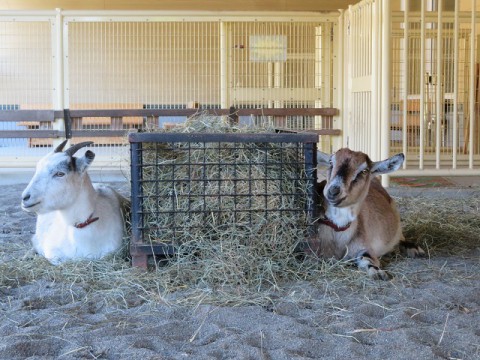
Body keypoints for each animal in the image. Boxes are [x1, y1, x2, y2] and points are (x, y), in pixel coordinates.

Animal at [308, 148, 424, 280]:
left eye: (363, 171)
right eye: (331, 163)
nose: (333, 191)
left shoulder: (365, 245)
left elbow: (367, 258)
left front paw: (378, 272)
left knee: (400, 237)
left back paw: (415, 249)